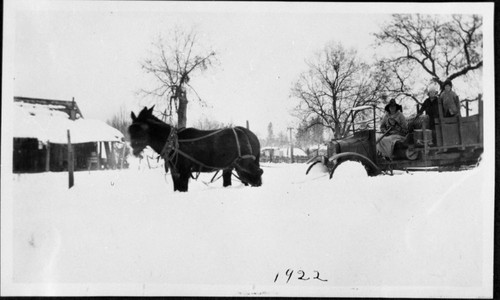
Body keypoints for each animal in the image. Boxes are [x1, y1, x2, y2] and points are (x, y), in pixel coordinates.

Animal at [127, 106, 264, 192]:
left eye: (139, 129)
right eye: (130, 129)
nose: (133, 148)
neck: (172, 143)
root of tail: (253, 136)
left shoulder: (184, 171)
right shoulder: (175, 172)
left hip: (244, 163)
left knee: (258, 173)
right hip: (234, 166)